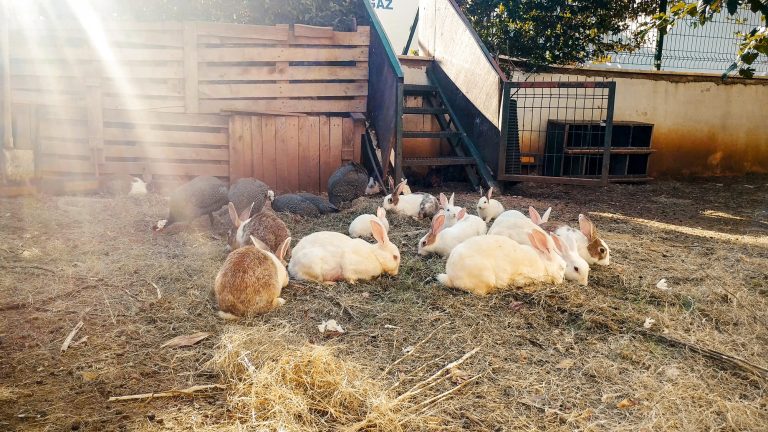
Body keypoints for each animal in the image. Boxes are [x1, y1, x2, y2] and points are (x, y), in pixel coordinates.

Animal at [436, 232, 565, 296]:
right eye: (562, 267)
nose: (561, 281)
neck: (543, 264)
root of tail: (450, 276)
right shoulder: (523, 276)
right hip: (486, 276)